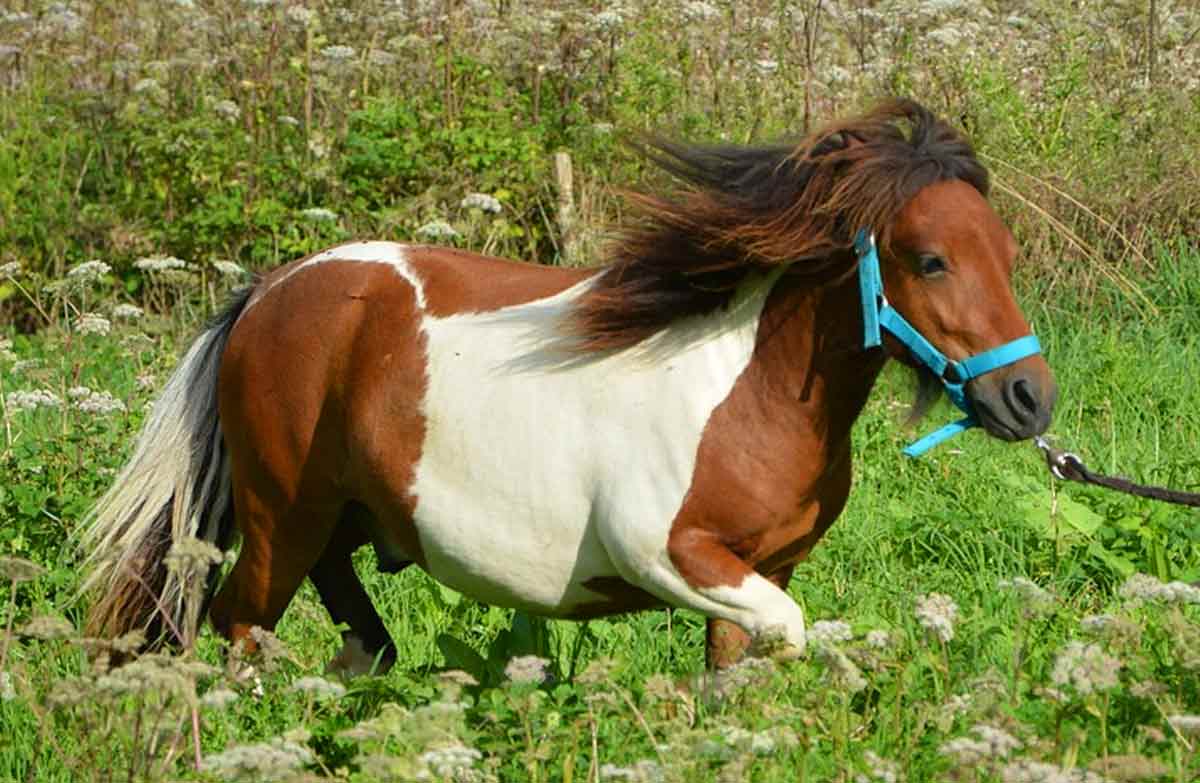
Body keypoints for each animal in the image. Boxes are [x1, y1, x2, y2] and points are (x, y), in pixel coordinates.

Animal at [80, 99, 1056, 674]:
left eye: (1007, 253)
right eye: (930, 259)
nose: (1029, 400)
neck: (745, 389)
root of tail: (269, 290)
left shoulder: (754, 570)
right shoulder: (671, 554)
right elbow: (790, 630)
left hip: (341, 519)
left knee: (357, 632)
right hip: (282, 517)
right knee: (239, 625)